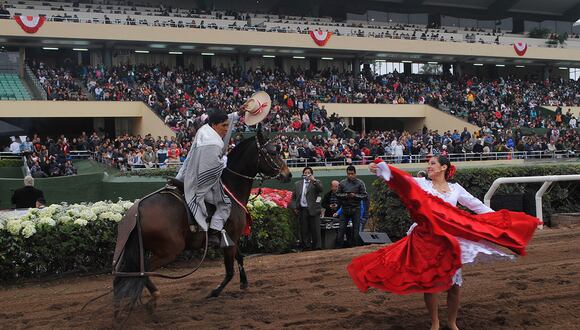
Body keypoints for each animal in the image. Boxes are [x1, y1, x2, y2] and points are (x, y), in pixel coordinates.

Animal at [112, 130, 292, 318]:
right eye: (273, 152)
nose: (288, 174)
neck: (229, 189)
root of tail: (138, 210)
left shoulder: (231, 238)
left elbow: (240, 257)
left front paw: (244, 282)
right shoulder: (230, 238)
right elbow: (229, 271)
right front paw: (215, 291)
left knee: (125, 275)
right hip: (169, 250)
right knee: (143, 271)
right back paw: (153, 297)